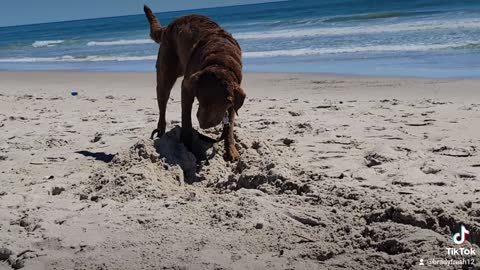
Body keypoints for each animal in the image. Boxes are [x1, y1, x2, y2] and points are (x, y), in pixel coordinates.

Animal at [143, 5, 246, 161]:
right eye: (200, 99)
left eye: (224, 103)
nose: (204, 125)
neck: (220, 61)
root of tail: (169, 26)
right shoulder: (187, 87)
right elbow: (186, 121)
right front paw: (188, 148)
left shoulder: (235, 94)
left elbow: (230, 124)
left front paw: (231, 150)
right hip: (165, 72)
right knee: (162, 105)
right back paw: (160, 131)